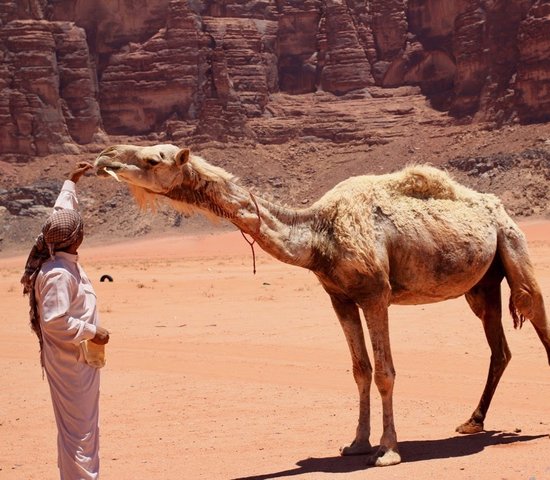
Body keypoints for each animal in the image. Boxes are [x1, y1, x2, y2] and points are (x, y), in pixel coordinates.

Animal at [96, 144, 550, 466]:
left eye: (152, 158)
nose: (103, 157)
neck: (318, 236)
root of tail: (496, 206)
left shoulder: (376, 293)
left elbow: (385, 371)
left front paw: (388, 450)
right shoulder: (339, 297)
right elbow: (360, 370)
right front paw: (357, 443)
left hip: (513, 244)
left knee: (536, 313)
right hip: (482, 284)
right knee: (499, 347)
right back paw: (472, 421)